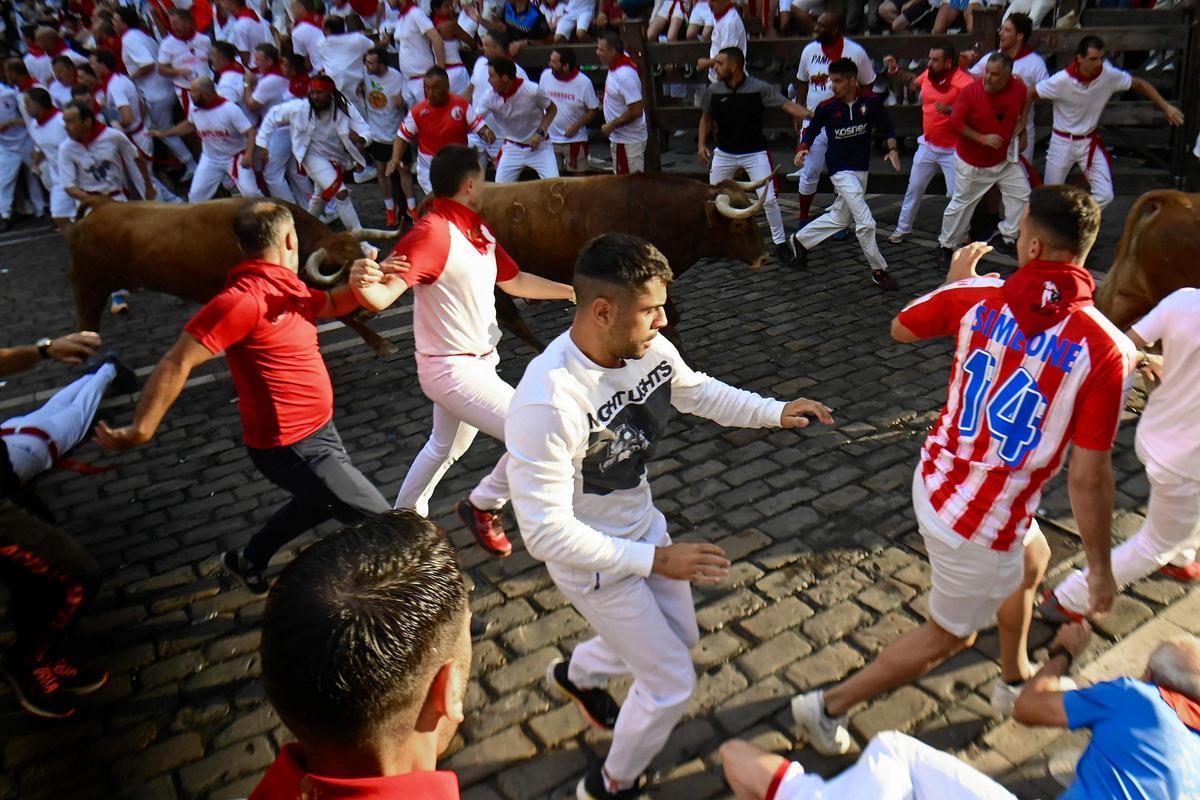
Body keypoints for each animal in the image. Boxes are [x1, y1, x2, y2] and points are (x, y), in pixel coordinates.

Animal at [68, 196, 398, 352]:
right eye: (340, 269)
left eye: (363, 258)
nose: (370, 309)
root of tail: (102, 204)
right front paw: (382, 344)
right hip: (89, 286)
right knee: (85, 324)